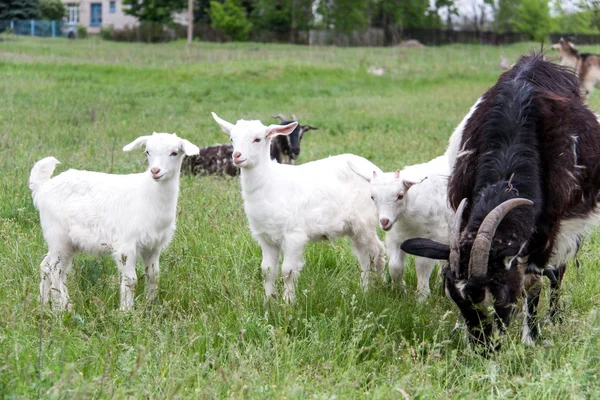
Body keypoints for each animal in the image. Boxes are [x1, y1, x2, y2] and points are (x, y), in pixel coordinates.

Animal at [350, 155, 452, 298]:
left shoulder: (430, 237)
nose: (384, 221)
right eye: (372, 197)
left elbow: (422, 266)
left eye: (400, 196)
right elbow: (395, 266)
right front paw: (400, 290)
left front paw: (422, 296)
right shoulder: (396, 238)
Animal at [400, 54, 600, 350]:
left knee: (558, 271)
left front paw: (531, 337)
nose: (485, 349)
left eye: (500, 294)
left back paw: (554, 317)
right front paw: (460, 330)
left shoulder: (549, 226)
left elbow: (533, 280)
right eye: (458, 302)